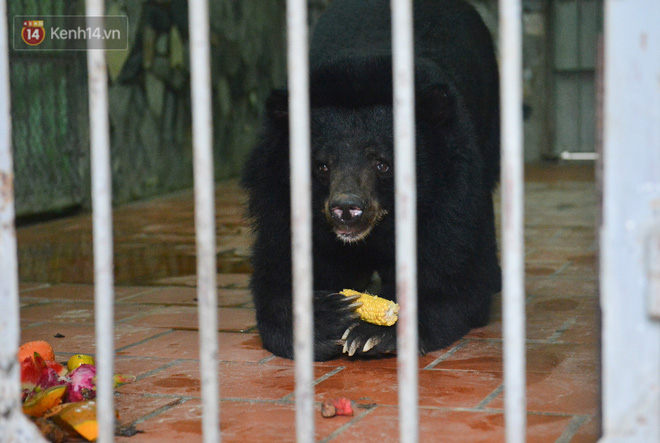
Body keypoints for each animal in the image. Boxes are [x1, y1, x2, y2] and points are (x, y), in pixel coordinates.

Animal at [242, 0, 500, 360]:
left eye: (383, 164)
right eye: (322, 166)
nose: (346, 210)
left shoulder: (449, 194)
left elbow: (454, 280)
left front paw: (372, 333)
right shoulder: (280, 200)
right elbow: (277, 277)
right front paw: (329, 315)